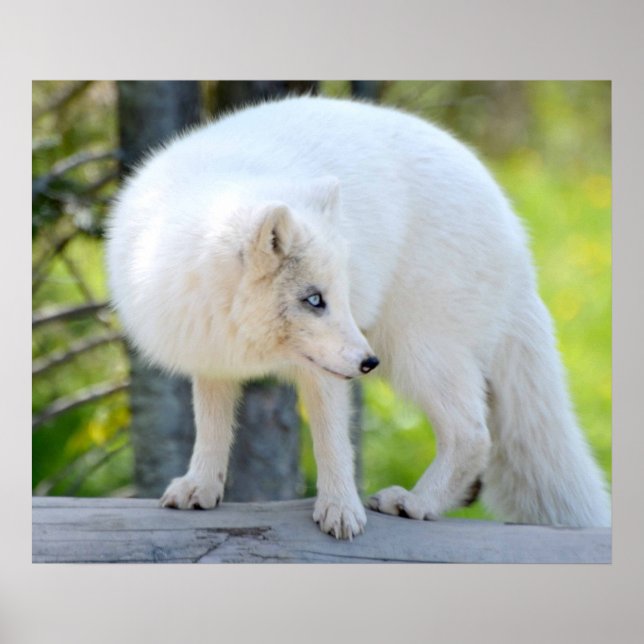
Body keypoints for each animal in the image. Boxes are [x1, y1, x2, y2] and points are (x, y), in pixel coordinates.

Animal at [106, 95, 611, 539]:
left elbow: (334, 443)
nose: (368, 364)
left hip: (417, 351)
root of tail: (517, 235)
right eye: (314, 300)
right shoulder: (211, 353)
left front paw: (339, 509)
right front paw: (201, 486)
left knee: (473, 434)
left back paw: (416, 503)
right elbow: (211, 428)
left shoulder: (326, 370)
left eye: (340, 297)